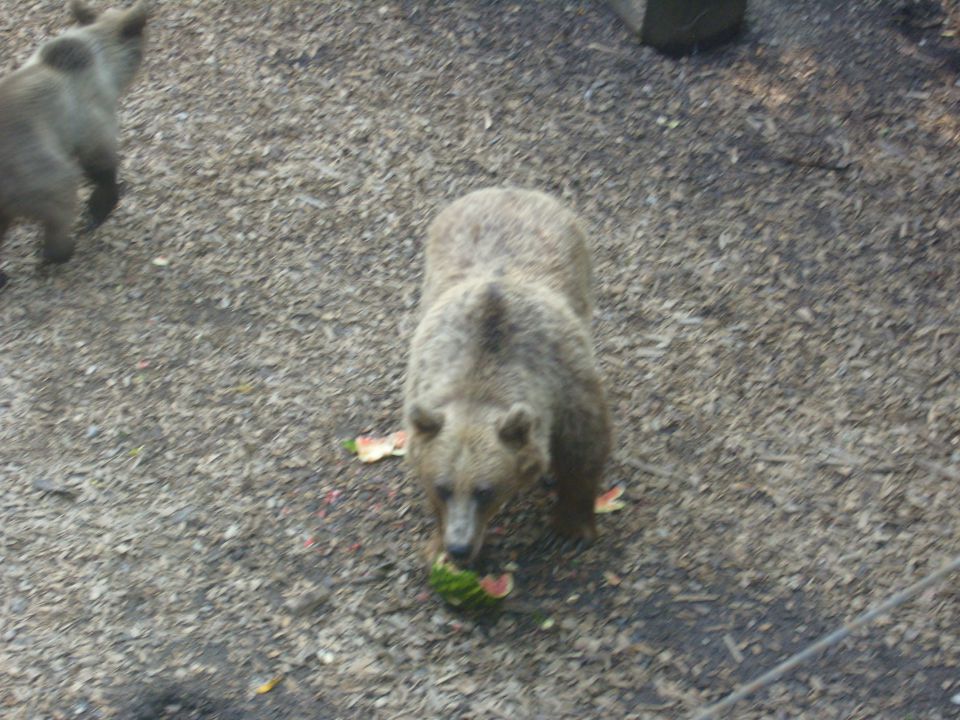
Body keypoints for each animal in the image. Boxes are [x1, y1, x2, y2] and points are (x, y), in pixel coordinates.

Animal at [0, 0, 149, 286]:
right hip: (31, 171)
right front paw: (98, 209)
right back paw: (58, 251)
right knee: (60, 199)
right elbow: (101, 163)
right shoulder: (88, 117)